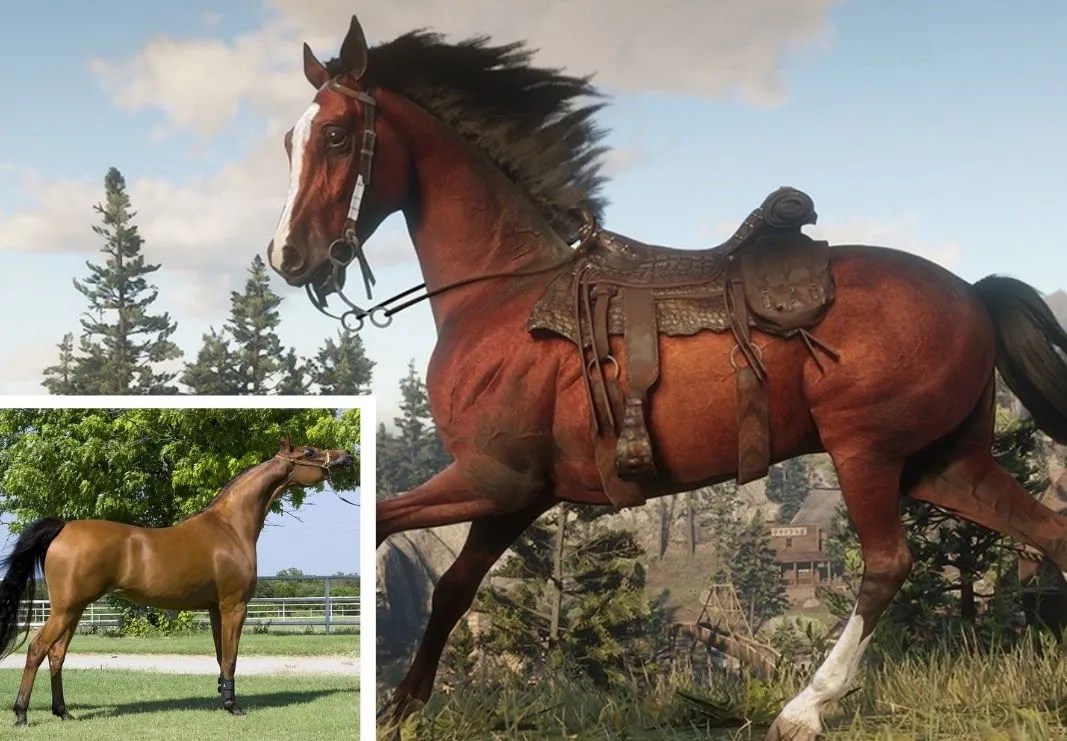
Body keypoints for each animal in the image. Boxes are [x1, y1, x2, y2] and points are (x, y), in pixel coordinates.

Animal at [0, 438, 354, 726]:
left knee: (56, 655)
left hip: (73, 610)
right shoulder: (234, 606)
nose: (346, 457)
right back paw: (21, 714)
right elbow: (231, 657)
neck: (229, 527)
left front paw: (223, 699)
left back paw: (63, 712)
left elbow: (220, 656)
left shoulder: (215, 609)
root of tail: (63, 527)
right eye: (309, 452)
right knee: (36, 650)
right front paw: (233, 706)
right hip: (65, 609)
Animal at [267, 16, 1067, 740]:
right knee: (1050, 534)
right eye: (287, 142)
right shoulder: (516, 492)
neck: (506, 296)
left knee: (886, 564)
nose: (288, 257)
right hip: (945, 464)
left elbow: (384, 524)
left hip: (864, 452)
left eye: (336, 135)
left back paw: (802, 710)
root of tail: (971, 293)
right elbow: (454, 589)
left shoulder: (492, 476)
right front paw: (401, 707)